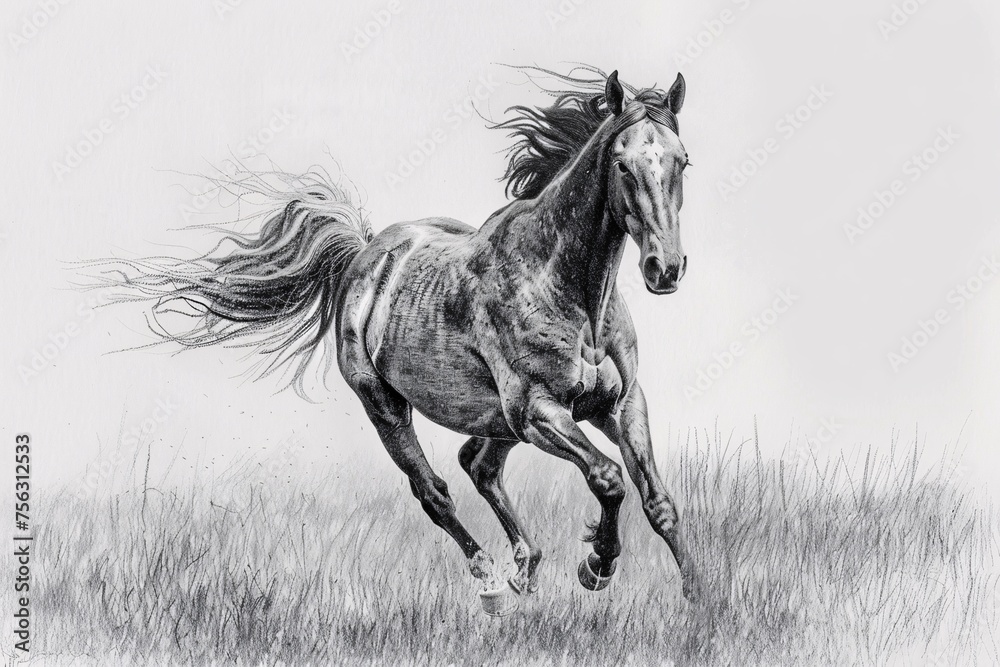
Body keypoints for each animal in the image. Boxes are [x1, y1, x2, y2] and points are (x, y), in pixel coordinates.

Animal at [87, 66, 700, 611]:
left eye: (682, 160)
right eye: (621, 163)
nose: (665, 269)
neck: (567, 289)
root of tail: (365, 253)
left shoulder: (619, 404)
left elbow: (658, 500)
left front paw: (698, 594)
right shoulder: (537, 410)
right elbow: (608, 478)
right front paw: (598, 564)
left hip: (494, 419)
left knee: (479, 465)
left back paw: (525, 567)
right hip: (389, 406)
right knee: (434, 490)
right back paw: (493, 583)